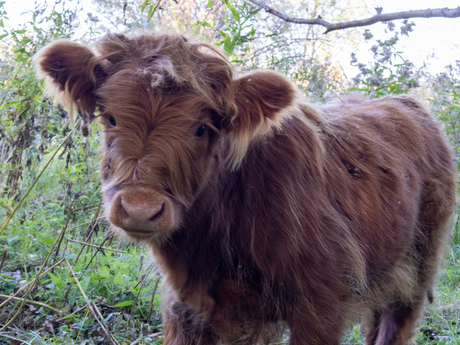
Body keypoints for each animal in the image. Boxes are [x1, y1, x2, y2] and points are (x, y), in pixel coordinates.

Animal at [35, 33, 456, 344]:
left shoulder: (322, 305)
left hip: (415, 274)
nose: (140, 208)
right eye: (110, 118)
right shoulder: (185, 307)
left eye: (202, 128)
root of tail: (408, 105)